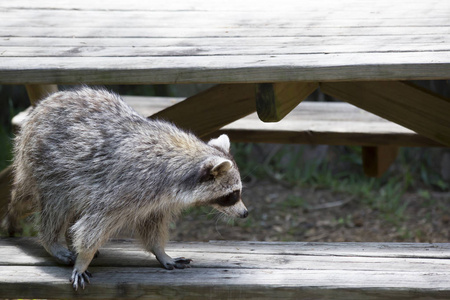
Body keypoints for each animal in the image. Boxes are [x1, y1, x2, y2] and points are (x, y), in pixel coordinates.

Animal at [7, 87, 246, 290]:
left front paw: (161, 252)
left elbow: (152, 226)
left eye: (238, 192)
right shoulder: (126, 188)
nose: (245, 213)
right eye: (232, 195)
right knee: (54, 205)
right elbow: (93, 225)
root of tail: (42, 106)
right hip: (46, 163)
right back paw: (50, 240)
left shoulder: (158, 201)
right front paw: (83, 259)